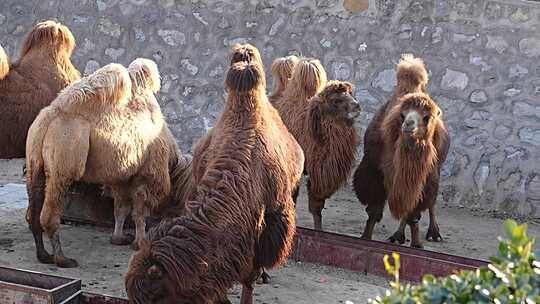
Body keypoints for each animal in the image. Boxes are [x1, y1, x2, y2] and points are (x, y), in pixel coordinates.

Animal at [25, 58, 188, 268]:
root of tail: (48, 118)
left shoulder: (122, 175)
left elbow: (120, 208)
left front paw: (119, 238)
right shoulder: (147, 173)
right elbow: (140, 210)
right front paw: (140, 242)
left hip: (34, 158)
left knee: (34, 203)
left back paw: (43, 255)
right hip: (66, 148)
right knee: (51, 208)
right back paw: (63, 259)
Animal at [352, 55, 450, 249]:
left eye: (426, 117)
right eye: (402, 115)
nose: (409, 124)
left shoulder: (423, 177)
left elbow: (414, 213)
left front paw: (417, 245)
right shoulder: (375, 171)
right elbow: (374, 210)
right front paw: (365, 237)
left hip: (435, 170)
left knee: (430, 203)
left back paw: (433, 233)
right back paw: (398, 236)